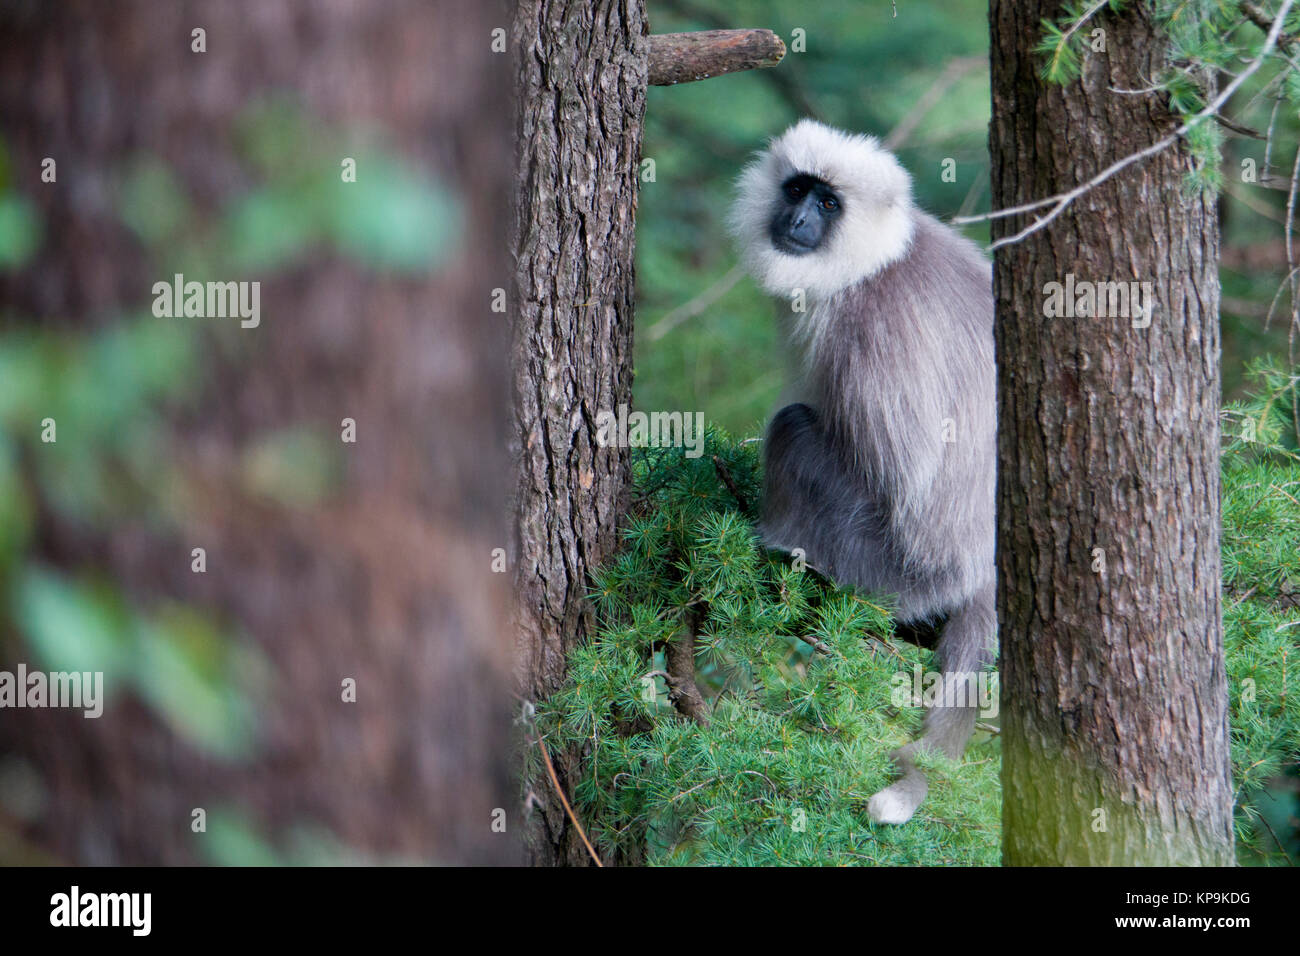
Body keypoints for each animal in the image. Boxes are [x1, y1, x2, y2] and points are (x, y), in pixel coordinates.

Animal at [733, 117, 993, 822]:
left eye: (829, 203)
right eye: (798, 189)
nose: (797, 218)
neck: (876, 261)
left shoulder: (866, 327)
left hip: (891, 568)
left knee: (794, 427)